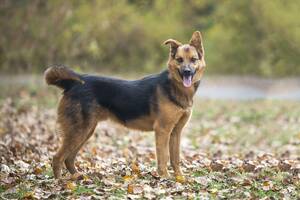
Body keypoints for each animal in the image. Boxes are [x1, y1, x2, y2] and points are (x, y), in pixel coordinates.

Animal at [45, 31, 205, 180]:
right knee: (58, 158)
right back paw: (61, 182)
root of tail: (74, 83)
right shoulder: (162, 130)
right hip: (79, 130)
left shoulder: (176, 132)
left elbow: (175, 159)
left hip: (85, 130)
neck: (175, 87)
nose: (187, 72)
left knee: (69, 158)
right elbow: (163, 158)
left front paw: (179, 178)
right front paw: (165, 178)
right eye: (179, 60)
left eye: (193, 59)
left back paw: (77, 177)